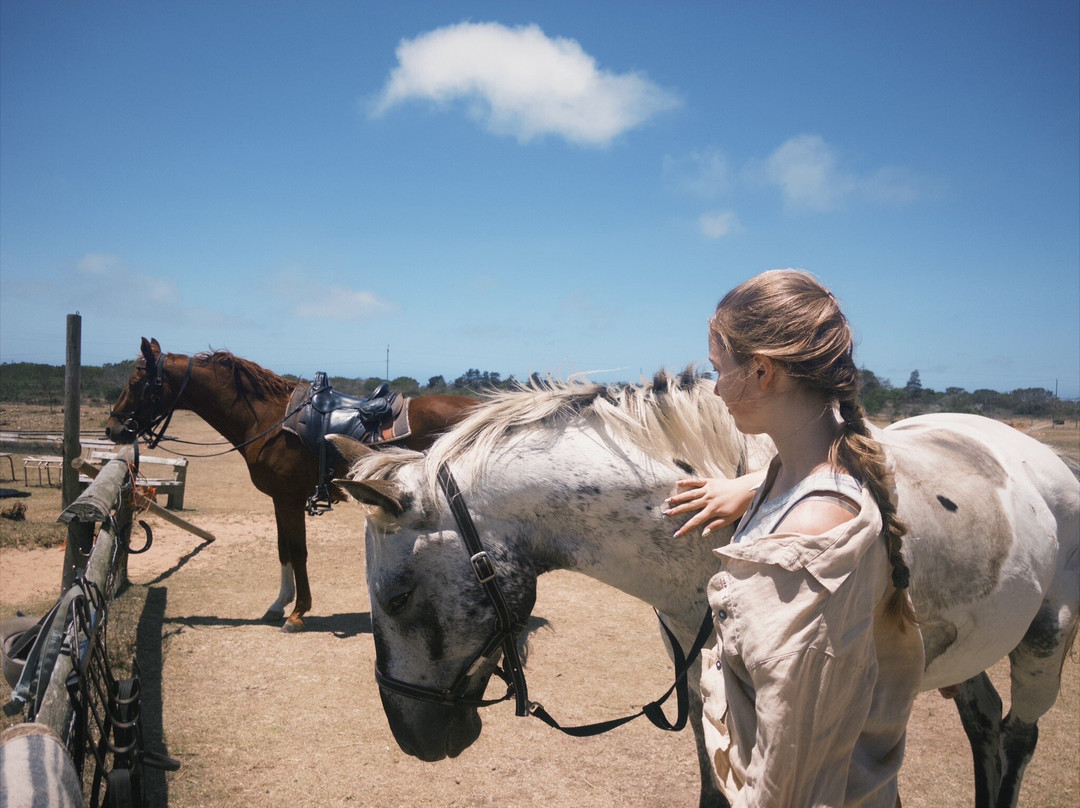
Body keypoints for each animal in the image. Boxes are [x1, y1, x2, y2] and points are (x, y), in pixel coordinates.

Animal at [105, 338, 478, 632]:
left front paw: (298, 613)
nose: (113, 429)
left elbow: (298, 551)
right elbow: (283, 548)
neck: (267, 420)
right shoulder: (279, 500)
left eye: (137, 383)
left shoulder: (289, 499)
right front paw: (278, 604)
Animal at [333, 371, 1079, 808]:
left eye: (397, 599)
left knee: (1017, 737)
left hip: (1047, 639)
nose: (413, 739)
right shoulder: (705, 685)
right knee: (984, 725)